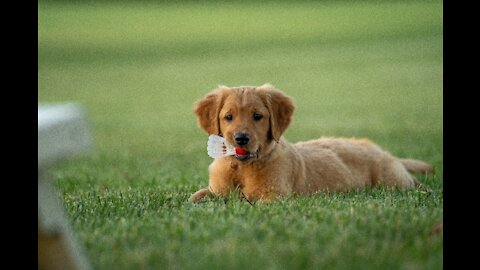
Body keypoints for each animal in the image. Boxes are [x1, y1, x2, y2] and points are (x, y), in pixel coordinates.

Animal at [189, 84, 434, 202]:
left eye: (257, 116)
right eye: (228, 117)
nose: (241, 138)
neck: (241, 167)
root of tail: (384, 151)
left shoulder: (275, 196)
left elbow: (252, 203)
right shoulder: (217, 189)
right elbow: (197, 196)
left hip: (392, 181)